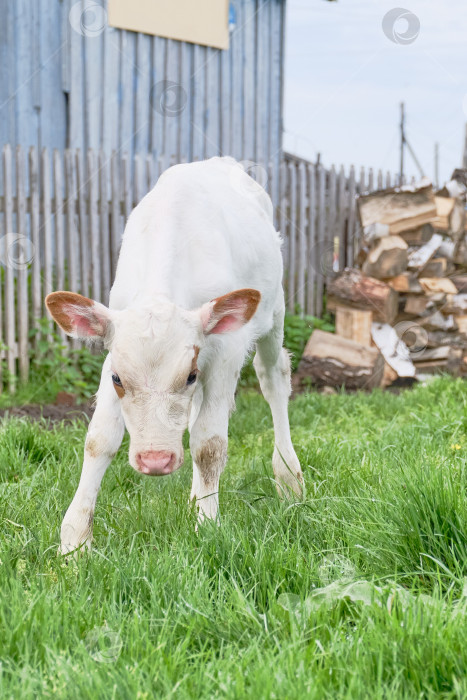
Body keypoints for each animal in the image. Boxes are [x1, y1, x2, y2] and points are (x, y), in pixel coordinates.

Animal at [46, 157, 304, 552]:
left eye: (189, 375)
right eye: (118, 379)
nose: (155, 461)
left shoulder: (226, 349)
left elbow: (209, 444)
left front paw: (208, 527)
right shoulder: (113, 351)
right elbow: (99, 439)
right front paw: (74, 542)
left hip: (274, 313)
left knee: (273, 378)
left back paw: (288, 477)